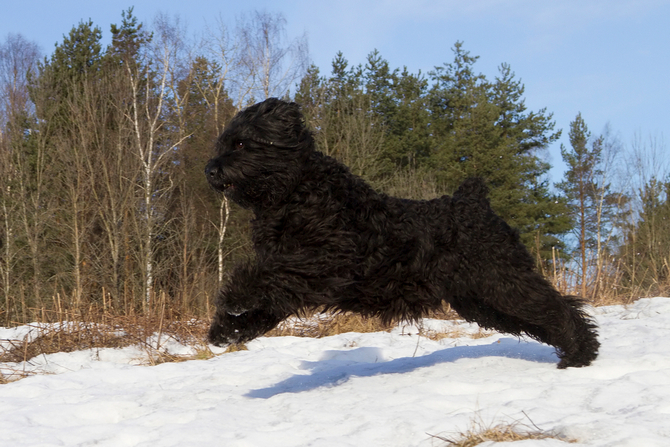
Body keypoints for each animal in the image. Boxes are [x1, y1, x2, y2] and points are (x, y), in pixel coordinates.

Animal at [207, 100, 600, 370]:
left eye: (240, 144)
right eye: (223, 143)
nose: (210, 169)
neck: (295, 193)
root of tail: (475, 201)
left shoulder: (323, 262)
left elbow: (263, 275)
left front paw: (233, 298)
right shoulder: (296, 283)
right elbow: (266, 304)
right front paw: (224, 331)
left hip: (504, 282)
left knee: (559, 308)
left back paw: (581, 353)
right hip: (482, 299)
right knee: (543, 317)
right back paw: (574, 351)